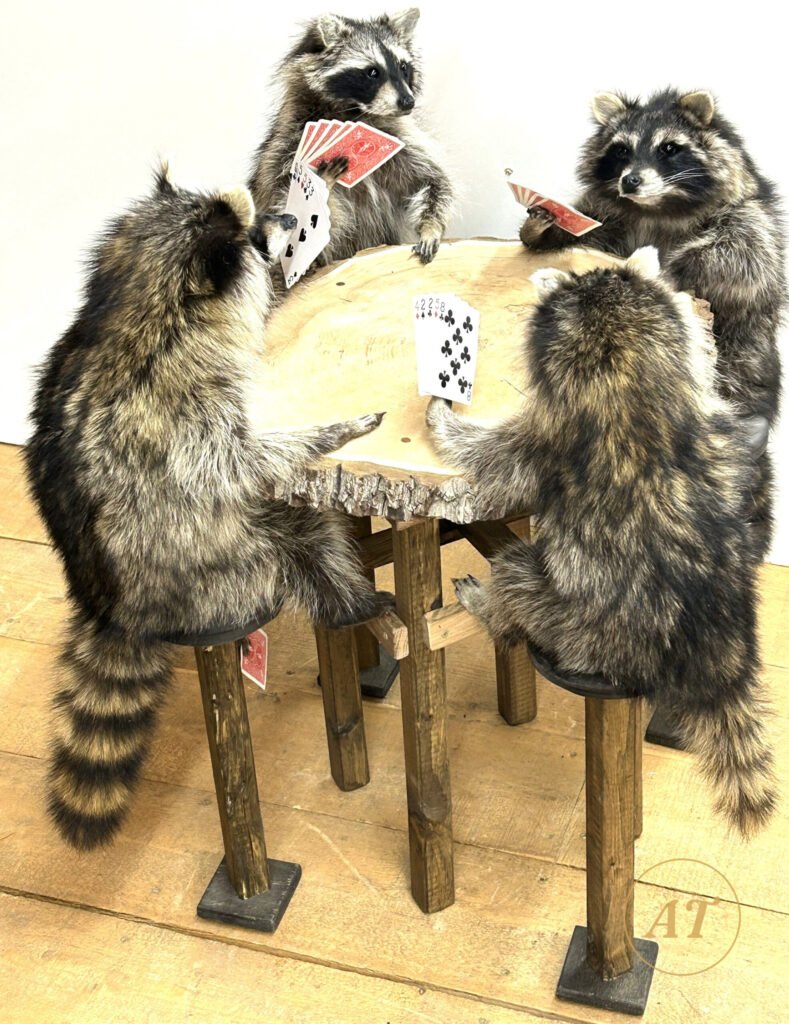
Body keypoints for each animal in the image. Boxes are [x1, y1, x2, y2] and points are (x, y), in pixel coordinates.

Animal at [25, 167, 394, 850]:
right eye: (253, 234)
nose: (286, 220)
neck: (134, 294)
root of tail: (113, 607)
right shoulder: (182, 398)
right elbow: (245, 461)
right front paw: (329, 430)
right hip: (224, 569)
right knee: (305, 539)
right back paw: (352, 604)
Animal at [249, 9, 454, 267]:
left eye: (403, 67)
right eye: (372, 72)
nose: (408, 102)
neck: (356, 112)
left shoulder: (399, 141)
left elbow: (434, 180)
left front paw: (430, 227)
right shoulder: (288, 147)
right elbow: (300, 213)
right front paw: (322, 183)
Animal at [427, 248, 777, 836]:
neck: (630, 372)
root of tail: (715, 654)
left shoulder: (549, 439)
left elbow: (492, 456)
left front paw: (444, 421)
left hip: (576, 623)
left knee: (517, 574)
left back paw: (491, 606)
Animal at [520, 89, 784, 557]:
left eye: (669, 149)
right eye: (621, 151)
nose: (630, 181)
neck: (661, 207)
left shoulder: (752, 213)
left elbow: (745, 258)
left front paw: (677, 266)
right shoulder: (611, 221)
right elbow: (591, 229)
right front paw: (544, 227)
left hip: (743, 380)